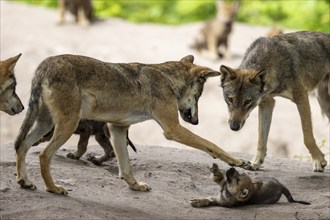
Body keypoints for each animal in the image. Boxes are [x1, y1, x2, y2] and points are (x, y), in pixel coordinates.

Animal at [14, 54, 248, 195]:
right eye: (199, 95)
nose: (197, 121)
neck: (167, 78)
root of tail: (46, 64)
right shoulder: (172, 130)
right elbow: (211, 144)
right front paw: (238, 161)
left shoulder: (118, 129)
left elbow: (125, 167)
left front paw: (135, 186)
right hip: (66, 126)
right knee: (43, 155)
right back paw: (53, 188)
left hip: (46, 123)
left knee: (22, 146)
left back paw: (25, 181)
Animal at [219, 31, 330, 172]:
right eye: (230, 99)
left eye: (247, 101)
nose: (233, 127)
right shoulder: (267, 103)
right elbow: (261, 139)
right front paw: (256, 162)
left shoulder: (301, 96)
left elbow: (307, 137)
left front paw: (318, 160)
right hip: (323, 102)